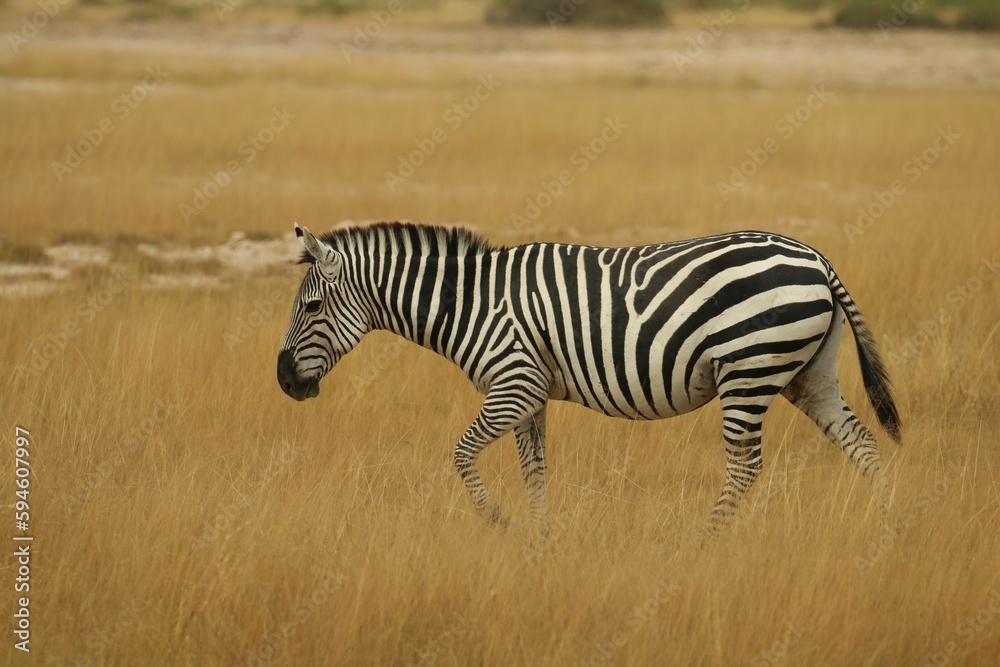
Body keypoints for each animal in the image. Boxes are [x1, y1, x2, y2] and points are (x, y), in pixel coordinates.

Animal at [278, 222, 900, 537]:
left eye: (311, 308)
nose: (283, 382)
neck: (471, 304)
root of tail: (818, 258)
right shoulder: (530, 393)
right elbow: (534, 469)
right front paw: (541, 540)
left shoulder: (514, 383)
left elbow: (460, 454)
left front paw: (499, 523)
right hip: (806, 374)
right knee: (861, 442)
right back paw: (889, 534)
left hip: (748, 369)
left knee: (746, 465)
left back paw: (704, 544)